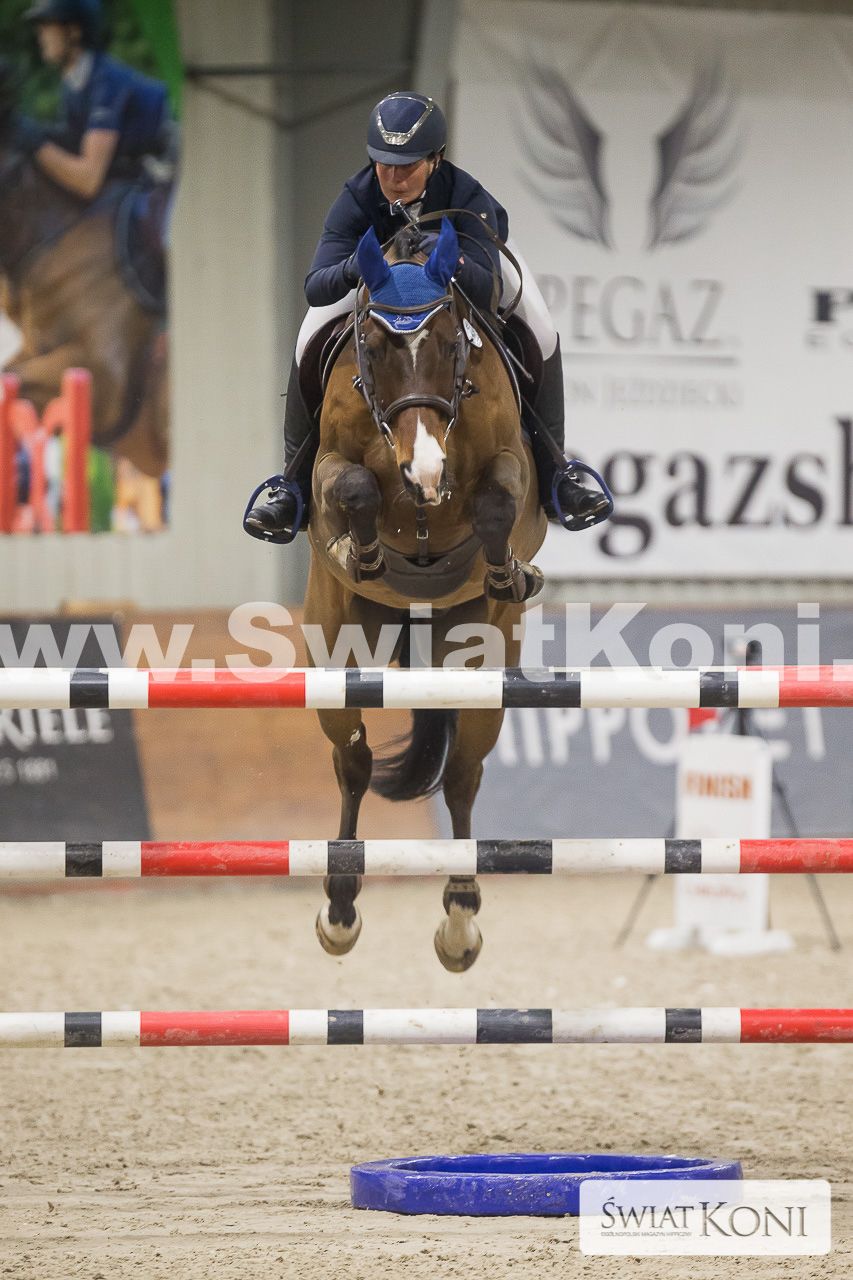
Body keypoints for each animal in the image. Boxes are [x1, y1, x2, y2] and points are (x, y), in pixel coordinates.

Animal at [304, 218, 547, 972]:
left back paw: (460, 919)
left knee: (463, 775)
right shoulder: (328, 465)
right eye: (376, 345)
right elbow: (353, 485)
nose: (426, 469)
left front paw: (506, 571)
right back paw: (340, 911)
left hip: (477, 665)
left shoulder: (510, 462)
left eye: (448, 341)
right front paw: (364, 549)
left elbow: (498, 498)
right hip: (337, 660)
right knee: (352, 764)